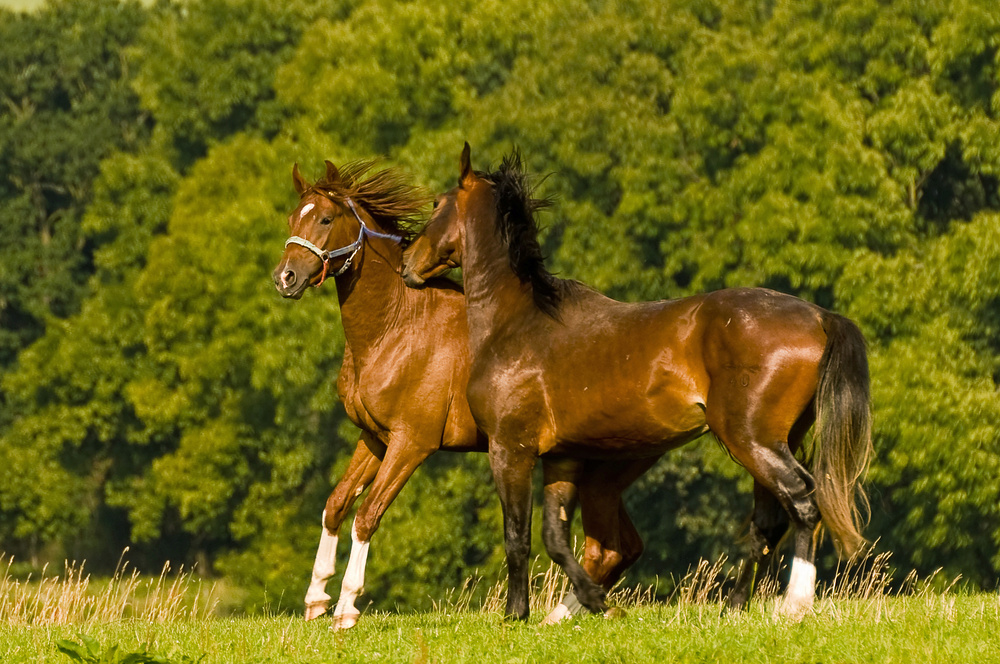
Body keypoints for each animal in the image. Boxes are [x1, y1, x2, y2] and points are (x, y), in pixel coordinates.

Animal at [278, 161, 656, 628]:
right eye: (293, 219)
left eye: (326, 219)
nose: (285, 278)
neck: (397, 326)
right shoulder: (375, 438)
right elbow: (336, 505)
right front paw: (316, 599)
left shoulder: (412, 443)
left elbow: (367, 516)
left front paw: (347, 607)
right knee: (623, 547)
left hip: (599, 474)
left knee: (610, 549)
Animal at [402, 141, 872, 624]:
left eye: (436, 204)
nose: (407, 263)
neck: (519, 321)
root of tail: (819, 316)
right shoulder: (562, 458)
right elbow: (555, 537)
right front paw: (594, 601)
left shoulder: (510, 450)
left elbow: (517, 536)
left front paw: (518, 613)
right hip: (774, 442)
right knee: (769, 522)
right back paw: (735, 606)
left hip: (751, 440)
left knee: (803, 503)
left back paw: (794, 603)